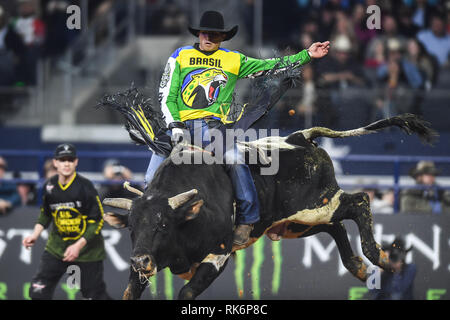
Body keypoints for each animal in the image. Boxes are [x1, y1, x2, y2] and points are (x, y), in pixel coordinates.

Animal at [103, 114, 436, 300]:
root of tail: (301, 137)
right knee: (337, 225)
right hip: (296, 223)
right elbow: (129, 292)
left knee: (358, 202)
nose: (139, 260)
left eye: (162, 224)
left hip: (317, 206)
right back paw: (358, 266)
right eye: (131, 229)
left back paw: (378, 256)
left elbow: (187, 291)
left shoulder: (219, 254)